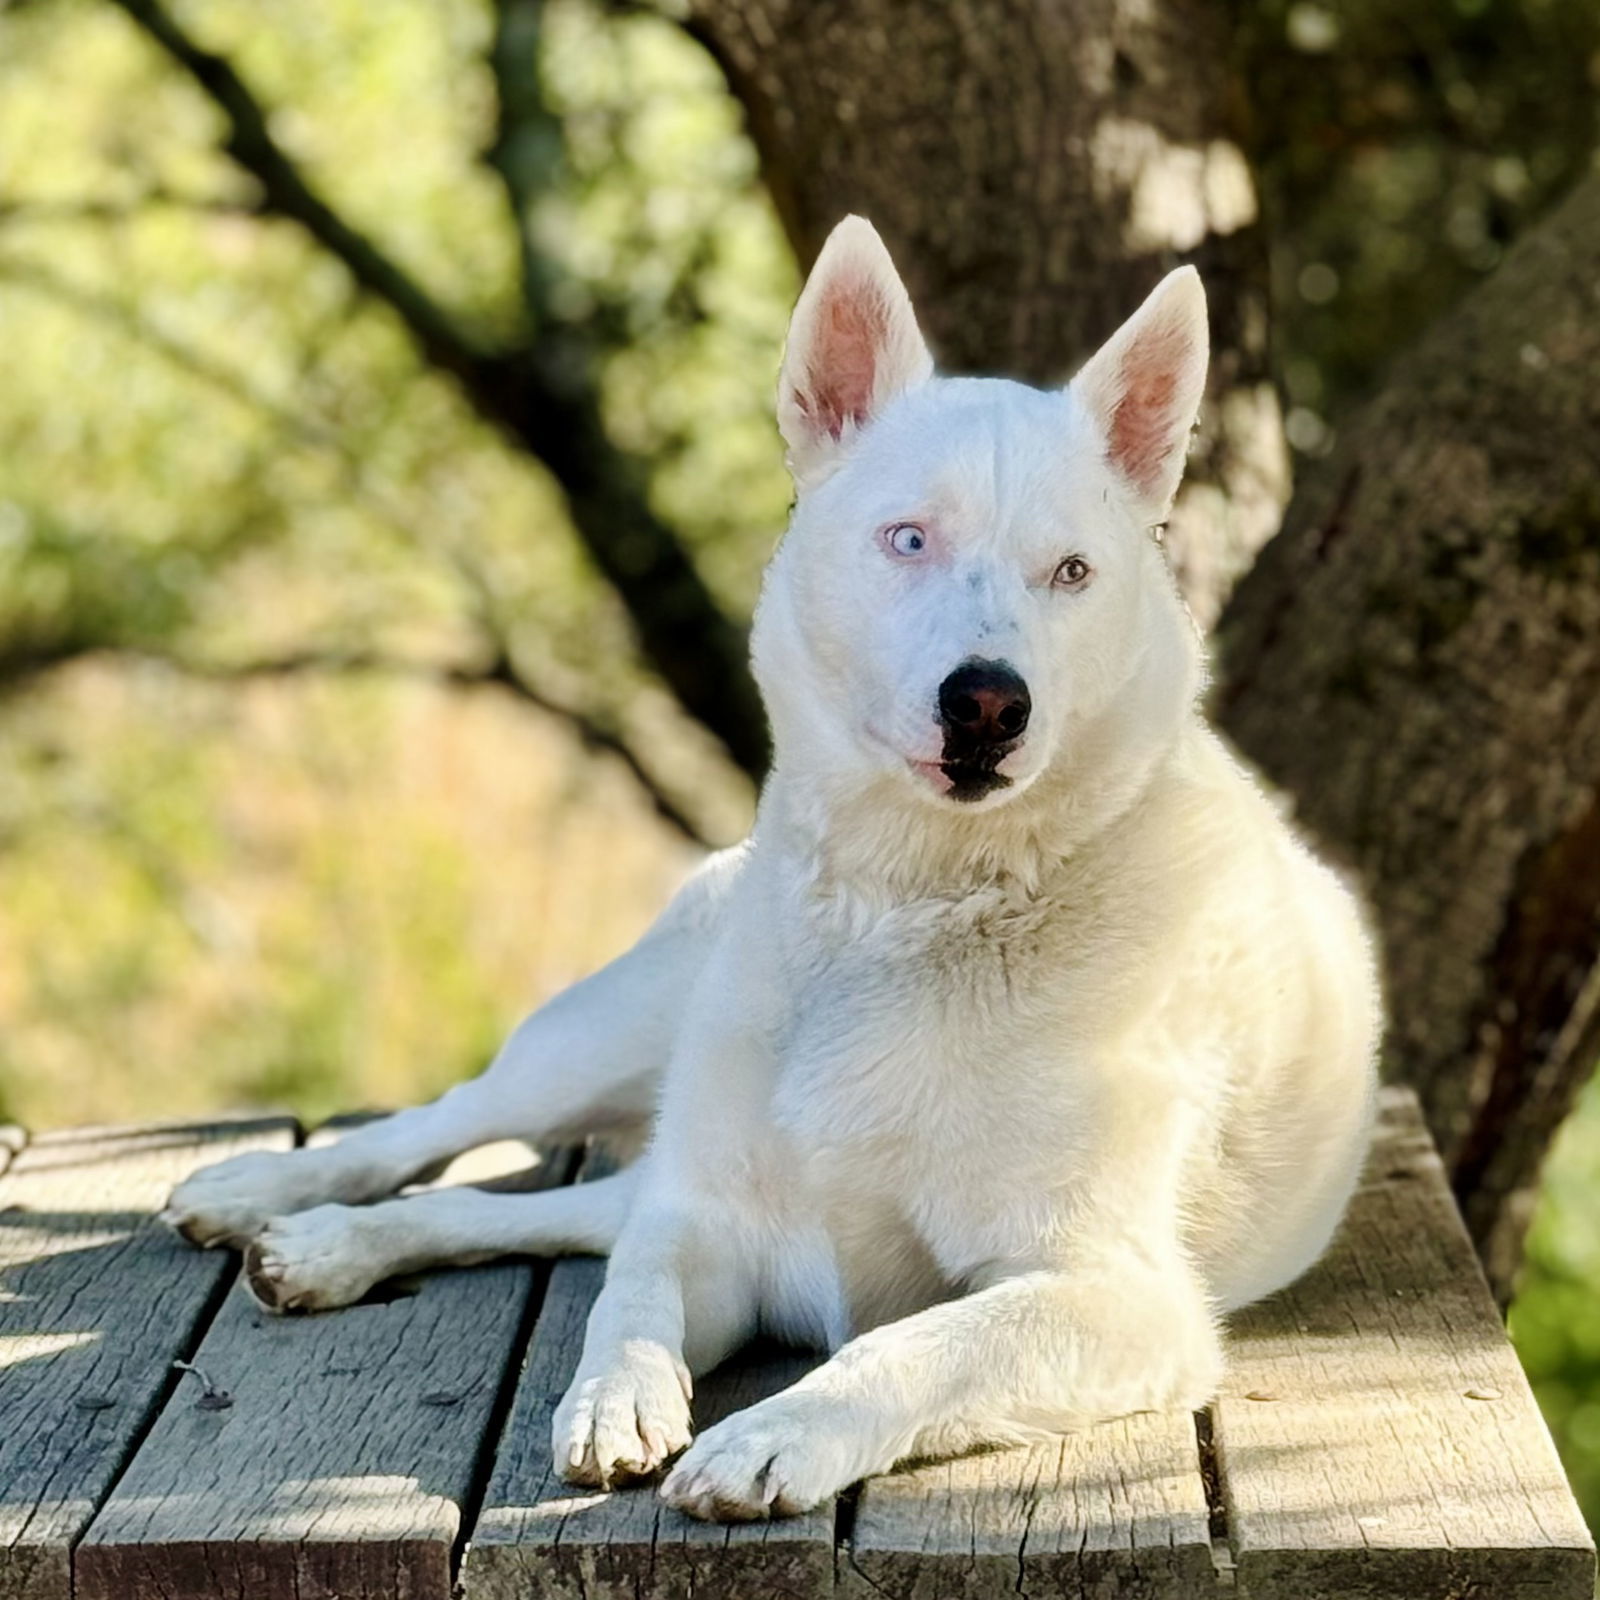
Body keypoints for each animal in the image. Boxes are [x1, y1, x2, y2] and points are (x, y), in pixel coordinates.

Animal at [168, 216, 1382, 1523]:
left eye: (1071, 572)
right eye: (908, 538)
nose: (989, 703)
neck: (905, 910)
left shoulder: (1115, 1293)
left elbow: (909, 1343)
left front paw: (775, 1433)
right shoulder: (718, 1221)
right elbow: (629, 1299)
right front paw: (615, 1398)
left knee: (551, 1209)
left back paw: (332, 1247)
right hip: (601, 1039)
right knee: (454, 1130)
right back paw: (273, 1200)